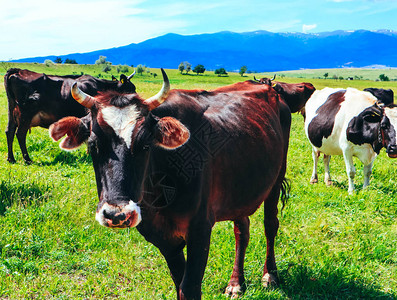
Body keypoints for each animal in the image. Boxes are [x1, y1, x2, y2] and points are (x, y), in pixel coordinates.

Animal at [3, 67, 135, 163]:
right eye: (130, 88)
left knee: (9, 131)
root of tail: (18, 71)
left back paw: (11, 159)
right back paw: (27, 159)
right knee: (20, 134)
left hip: (12, 111)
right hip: (25, 114)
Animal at [48, 69, 310, 298]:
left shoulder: (200, 230)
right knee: (241, 230)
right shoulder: (163, 238)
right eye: (93, 146)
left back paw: (270, 275)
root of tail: (269, 88)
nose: (117, 214)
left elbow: (190, 288)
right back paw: (236, 283)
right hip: (241, 189)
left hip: (276, 178)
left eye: (146, 145)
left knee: (270, 225)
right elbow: (179, 284)